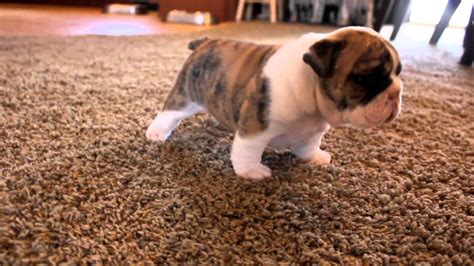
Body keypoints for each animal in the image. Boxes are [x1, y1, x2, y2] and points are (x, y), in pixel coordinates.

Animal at [146, 27, 402, 180]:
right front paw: (251, 171)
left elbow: (308, 147)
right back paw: (156, 133)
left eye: (399, 72)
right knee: (169, 113)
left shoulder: (312, 132)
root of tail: (205, 42)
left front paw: (314, 158)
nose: (396, 92)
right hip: (185, 94)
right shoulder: (255, 127)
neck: (311, 91)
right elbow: (248, 151)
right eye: (365, 79)